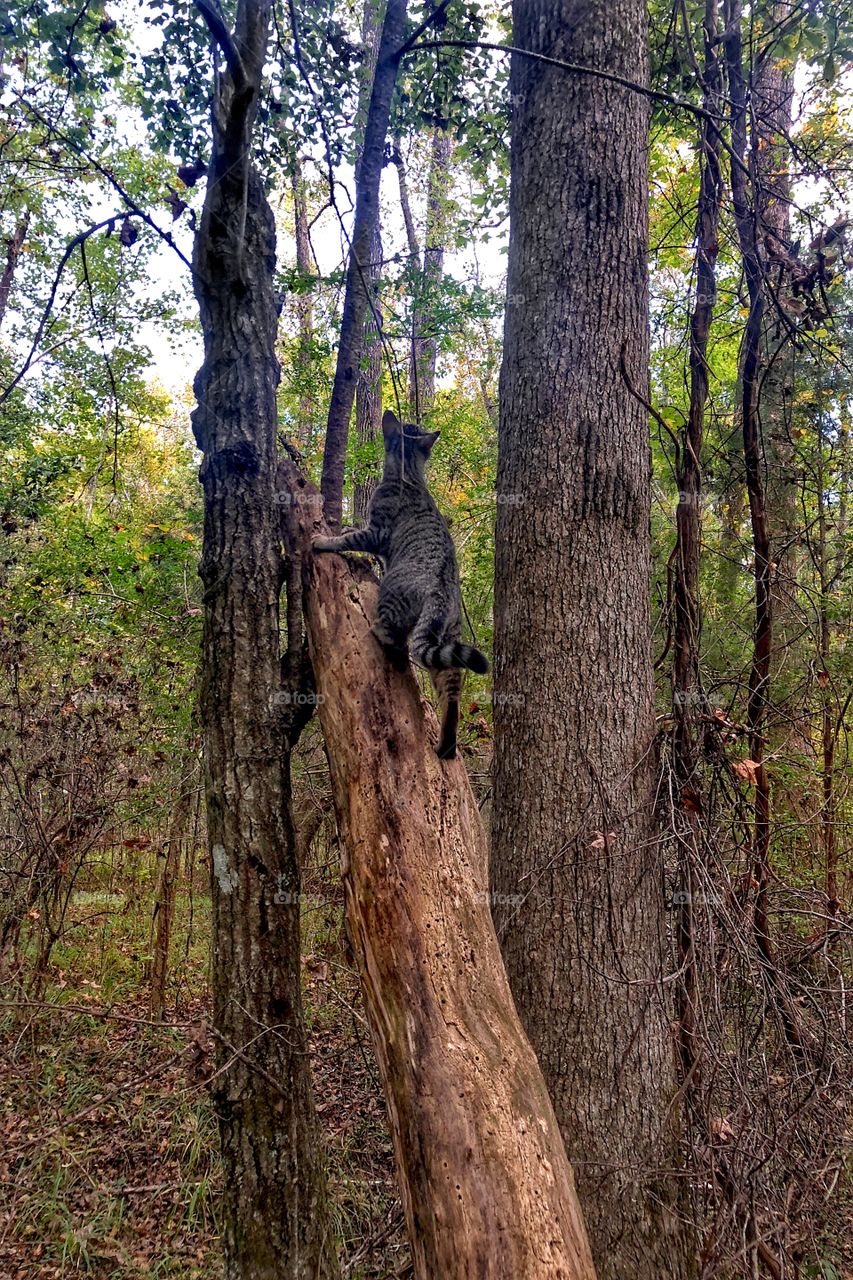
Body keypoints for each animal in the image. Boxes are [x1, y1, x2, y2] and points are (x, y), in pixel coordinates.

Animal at [311, 407, 484, 757]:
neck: (411, 475)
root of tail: (442, 591)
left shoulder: (376, 531)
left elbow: (348, 538)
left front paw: (324, 539)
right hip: (448, 642)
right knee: (451, 694)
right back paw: (446, 744)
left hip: (392, 596)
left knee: (394, 639)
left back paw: (380, 634)